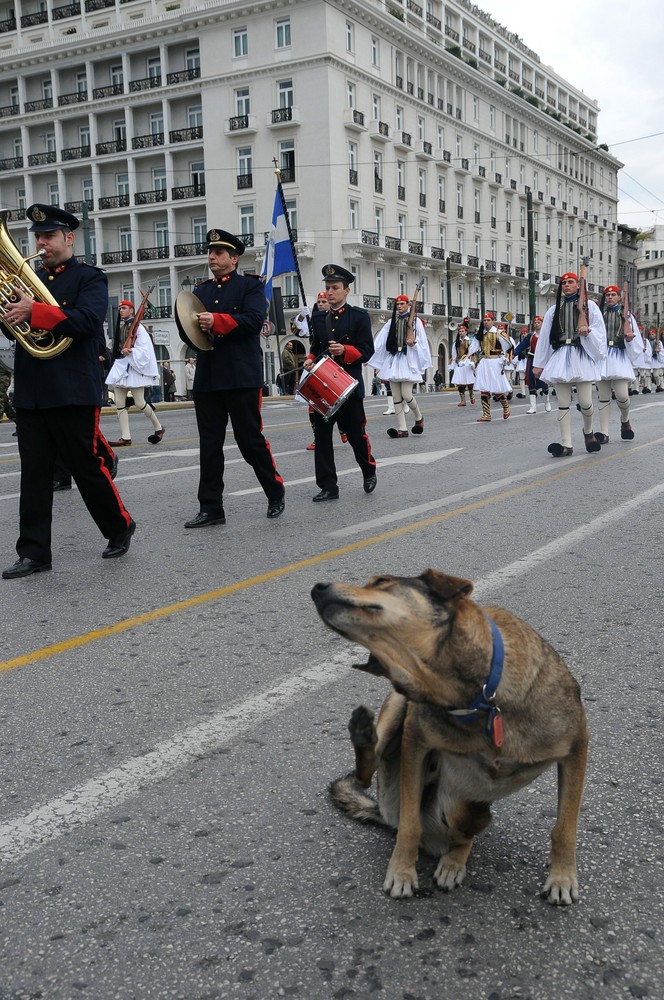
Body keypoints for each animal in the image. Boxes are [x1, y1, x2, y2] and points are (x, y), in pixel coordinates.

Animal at [310, 572, 588, 908]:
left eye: (382, 581)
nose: (316, 589)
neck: (479, 698)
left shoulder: (576, 747)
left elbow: (565, 828)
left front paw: (562, 876)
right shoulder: (415, 741)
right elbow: (410, 827)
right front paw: (402, 871)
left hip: (468, 807)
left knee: (463, 839)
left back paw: (454, 863)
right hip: (396, 716)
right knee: (370, 778)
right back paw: (363, 733)